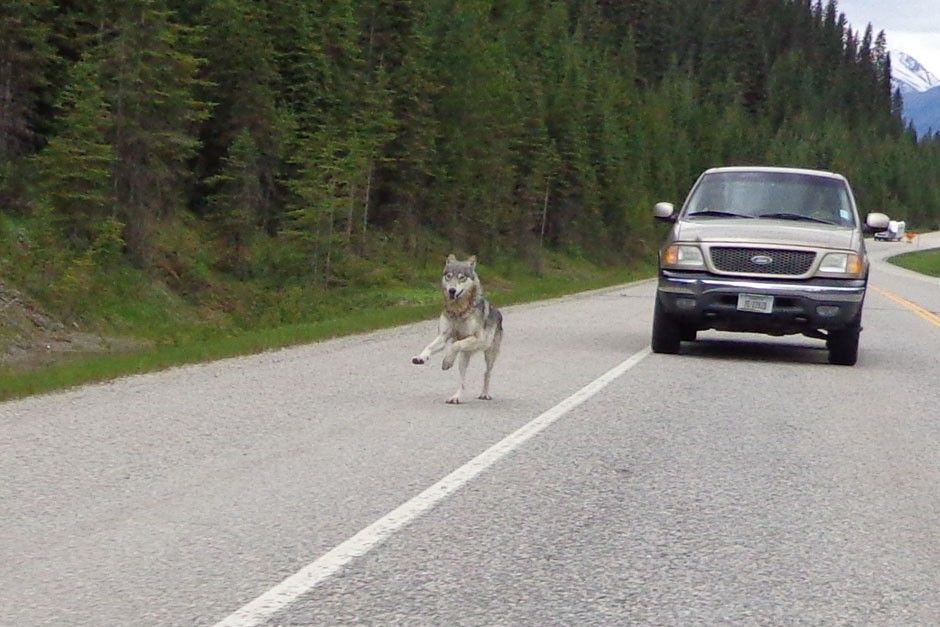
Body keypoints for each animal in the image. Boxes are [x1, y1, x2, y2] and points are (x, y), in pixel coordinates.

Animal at [411, 254, 503, 404]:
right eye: (449, 276)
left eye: (462, 277)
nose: (452, 290)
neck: (458, 311)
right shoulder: (443, 336)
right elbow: (429, 346)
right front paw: (420, 358)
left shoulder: (478, 339)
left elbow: (455, 345)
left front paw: (447, 361)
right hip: (463, 359)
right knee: (462, 382)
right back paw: (456, 397)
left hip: (489, 355)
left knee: (486, 373)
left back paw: (484, 394)